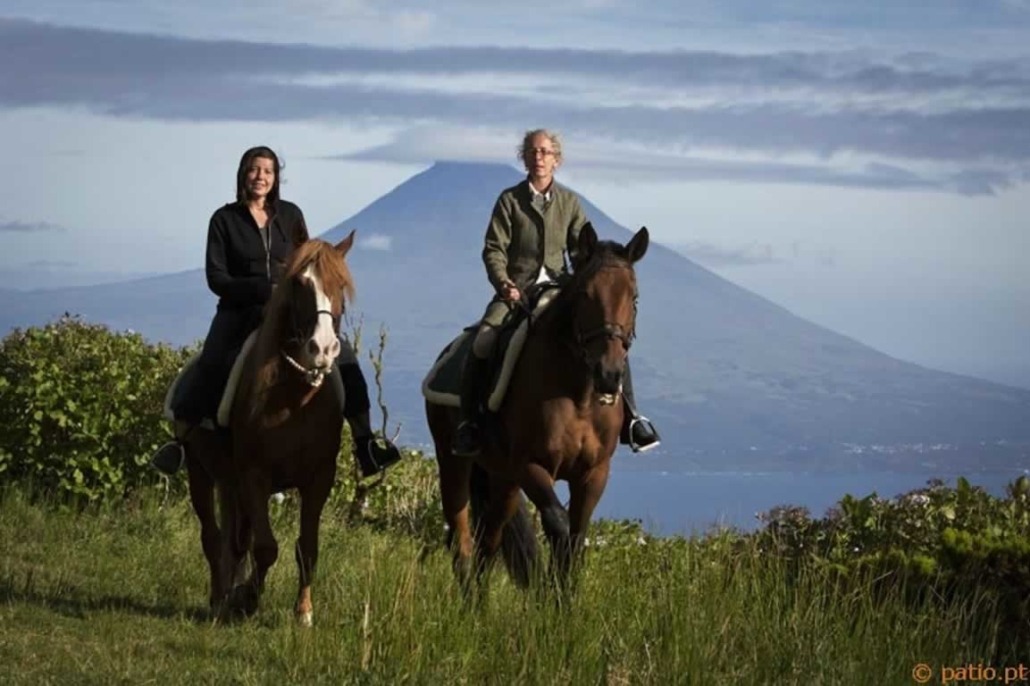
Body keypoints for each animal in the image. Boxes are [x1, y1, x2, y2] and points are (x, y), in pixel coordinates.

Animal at [185, 232, 358, 622]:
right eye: (300, 283)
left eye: (341, 285)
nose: (323, 349)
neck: (294, 398)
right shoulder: (254, 476)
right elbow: (266, 547)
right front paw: (247, 598)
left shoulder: (318, 479)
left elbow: (307, 548)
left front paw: (303, 611)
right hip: (198, 471)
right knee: (213, 537)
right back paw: (219, 598)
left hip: (230, 483)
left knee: (235, 539)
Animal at [422, 221, 646, 589]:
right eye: (586, 295)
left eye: (634, 297)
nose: (609, 374)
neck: (579, 395)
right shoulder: (530, 465)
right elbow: (558, 524)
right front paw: (551, 594)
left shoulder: (594, 472)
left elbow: (576, 537)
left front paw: (565, 597)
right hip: (454, 461)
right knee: (461, 537)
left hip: (502, 478)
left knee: (490, 540)